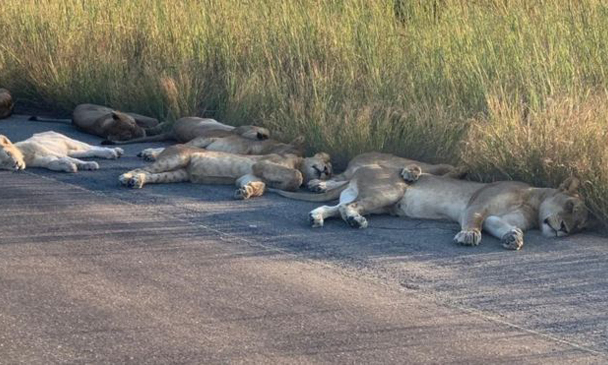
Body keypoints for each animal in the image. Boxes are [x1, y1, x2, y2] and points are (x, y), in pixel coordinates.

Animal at [116, 144, 330, 198]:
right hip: (177, 157)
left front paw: (246, 192)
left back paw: (137, 181)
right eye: (327, 163)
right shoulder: (261, 164)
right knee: (143, 167)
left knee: (152, 175)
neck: (298, 161)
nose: (325, 171)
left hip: (177, 174)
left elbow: (259, 186)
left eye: (330, 171)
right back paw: (126, 177)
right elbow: (297, 176)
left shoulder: (248, 175)